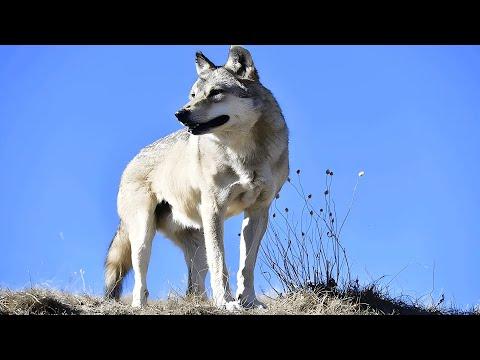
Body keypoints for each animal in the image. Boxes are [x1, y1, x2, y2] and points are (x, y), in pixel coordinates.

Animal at [104, 45, 288, 310]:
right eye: (193, 95)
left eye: (215, 93)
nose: (180, 114)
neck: (243, 153)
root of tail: (132, 160)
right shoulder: (214, 209)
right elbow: (220, 263)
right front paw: (226, 302)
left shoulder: (258, 210)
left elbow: (247, 266)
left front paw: (249, 302)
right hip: (143, 237)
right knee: (140, 282)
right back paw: (140, 306)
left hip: (198, 242)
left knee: (193, 288)